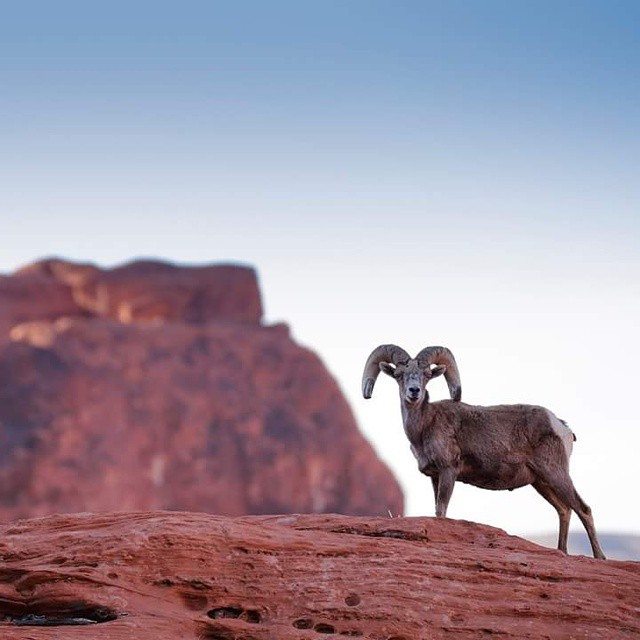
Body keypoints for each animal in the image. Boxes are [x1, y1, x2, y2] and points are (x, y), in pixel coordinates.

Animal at [362, 344, 606, 559]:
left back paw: (599, 557)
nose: (414, 392)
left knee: (583, 509)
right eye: (399, 375)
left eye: (426, 374)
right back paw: (562, 552)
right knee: (564, 510)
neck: (425, 425)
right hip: (541, 482)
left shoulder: (448, 472)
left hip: (556, 474)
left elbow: (441, 511)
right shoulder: (435, 477)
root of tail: (562, 426)